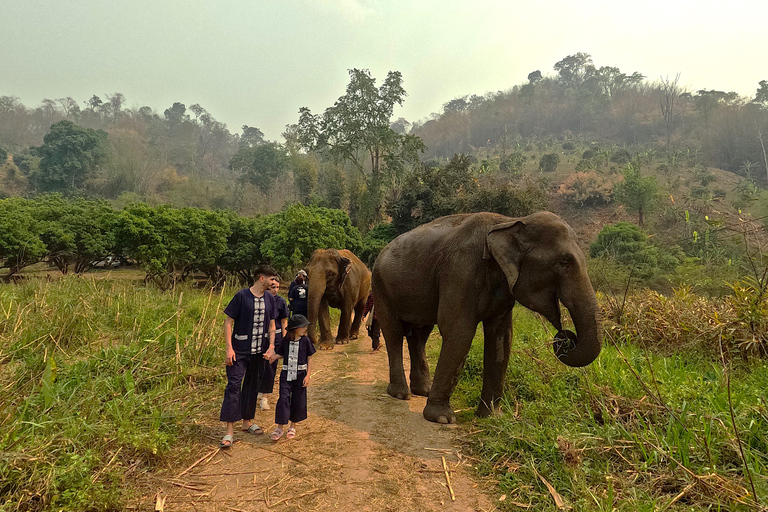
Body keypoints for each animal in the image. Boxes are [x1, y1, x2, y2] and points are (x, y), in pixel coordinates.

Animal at [370, 212, 600, 424]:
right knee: (394, 333)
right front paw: (442, 419)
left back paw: (422, 391)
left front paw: (492, 418)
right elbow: (458, 331)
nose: (565, 336)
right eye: (564, 263)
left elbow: (502, 339)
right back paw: (400, 394)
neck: (511, 221)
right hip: (380, 285)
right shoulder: (460, 271)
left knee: (420, 335)